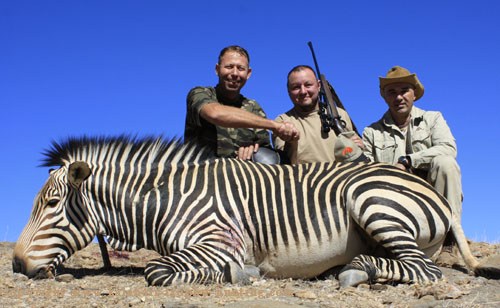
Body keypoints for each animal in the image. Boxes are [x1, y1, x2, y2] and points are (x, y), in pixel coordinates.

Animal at [13, 136, 498, 286]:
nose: (16, 264)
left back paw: (354, 270)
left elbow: (156, 270)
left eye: (51, 204)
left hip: (371, 202)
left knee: (423, 270)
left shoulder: (219, 242)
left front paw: (243, 274)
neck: (169, 200)